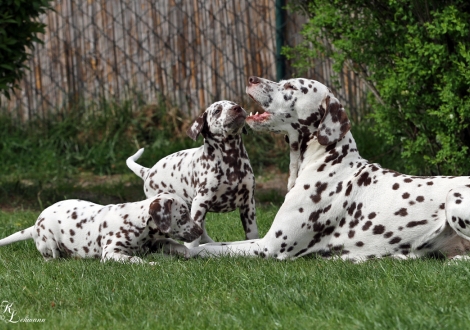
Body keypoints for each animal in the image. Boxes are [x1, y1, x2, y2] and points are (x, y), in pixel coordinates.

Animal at [0, 193, 205, 262]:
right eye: (184, 215)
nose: (200, 231)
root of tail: (34, 225)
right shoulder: (111, 253)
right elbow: (135, 259)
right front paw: (151, 263)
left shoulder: (155, 242)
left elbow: (174, 245)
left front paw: (185, 253)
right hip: (49, 242)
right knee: (52, 257)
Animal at [126, 100, 258, 248]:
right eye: (217, 111)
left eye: (233, 103)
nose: (237, 108)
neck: (231, 159)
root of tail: (148, 171)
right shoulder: (200, 202)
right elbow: (192, 239)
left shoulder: (248, 203)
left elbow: (252, 233)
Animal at [189, 75, 470, 260]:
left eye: (291, 86)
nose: (251, 78)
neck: (327, 160)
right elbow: (218, 243)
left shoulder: (269, 246)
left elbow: (213, 249)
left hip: (454, 197)